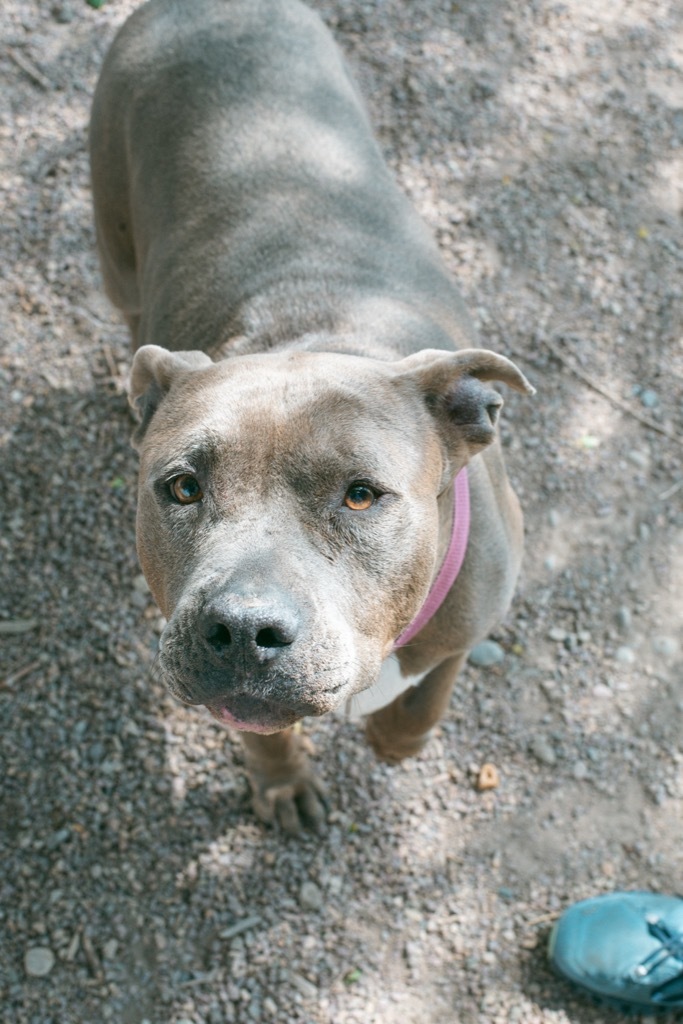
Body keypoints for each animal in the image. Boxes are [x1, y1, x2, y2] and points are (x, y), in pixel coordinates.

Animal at [90, 0, 536, 831]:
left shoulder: (477, 603)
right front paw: (281, 781)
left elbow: (434, 686)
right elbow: (258, 730)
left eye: (362, 495)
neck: (320, 333)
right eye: (181, 488)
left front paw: (396, 735)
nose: (239, 629)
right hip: (116, 246)